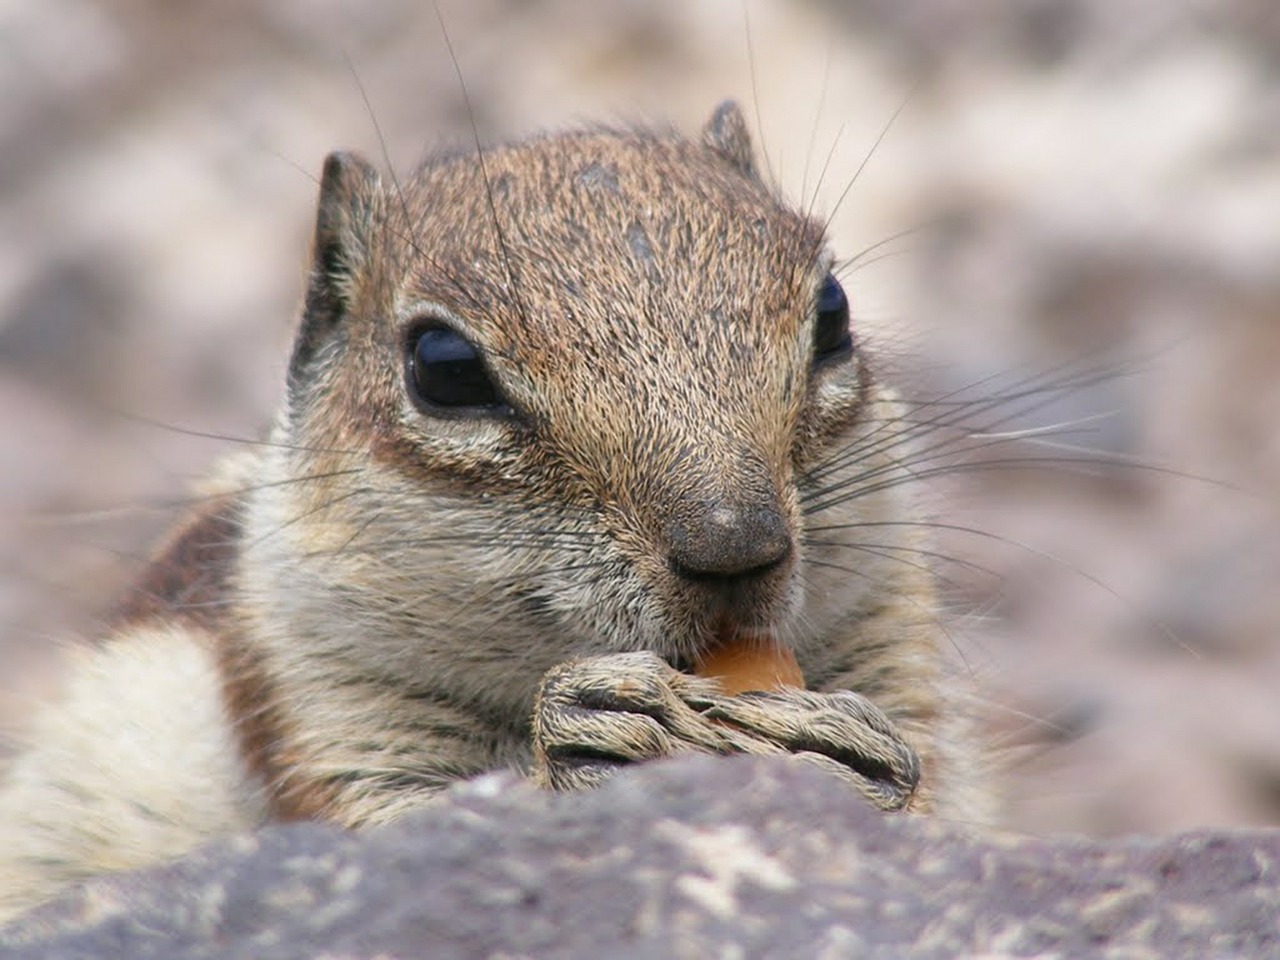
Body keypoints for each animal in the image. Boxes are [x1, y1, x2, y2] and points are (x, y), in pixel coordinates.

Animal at [0, 99, 988, 926]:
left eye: (835, 312)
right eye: (443, 367)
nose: (737, 547)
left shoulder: (894, 632)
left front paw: (861, 761)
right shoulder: (315, 699)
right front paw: (582, 740)